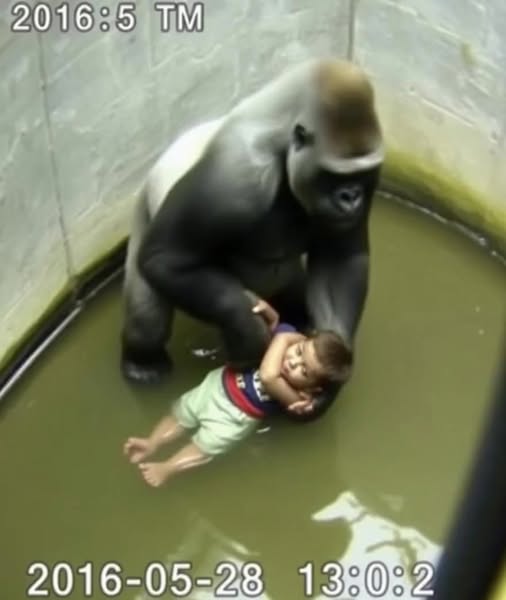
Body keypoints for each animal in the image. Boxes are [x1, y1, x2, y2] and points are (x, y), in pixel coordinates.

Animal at [121, 58, 384, 421]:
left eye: (363, 174)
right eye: (334, 175)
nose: (352, 197)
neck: (283, 138)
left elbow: (341, 260)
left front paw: (328, 376)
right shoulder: (237, 177)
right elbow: (166, 258)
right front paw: (247, 328)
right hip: (144, 205)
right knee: (147, 315)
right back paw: (142, 361)